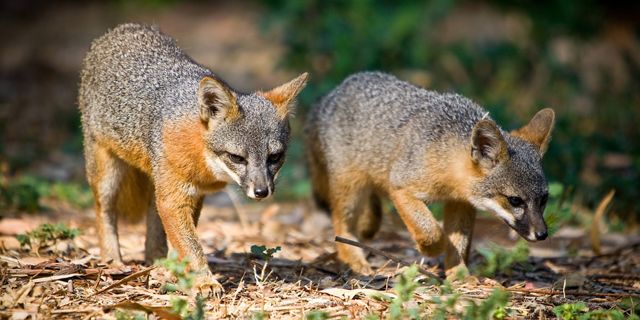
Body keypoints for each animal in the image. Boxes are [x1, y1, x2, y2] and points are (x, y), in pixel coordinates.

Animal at [79, 23, 308, 292]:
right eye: (237, 158)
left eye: (274, 157)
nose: (262, 192)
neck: (203, 157)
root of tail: (123, 28)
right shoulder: (175, 198)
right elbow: (191, 246)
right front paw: (203, 282)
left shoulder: (193, 195)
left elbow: (182, 242)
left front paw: (176, 272)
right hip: (108, 177)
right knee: (103, 211)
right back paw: (113, 261)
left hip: (156, 186)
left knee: (154, 222)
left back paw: (156, 263)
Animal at [306, 71, 556, 276]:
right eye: (515, 200)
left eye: (544, 199)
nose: (542, 234)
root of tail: (330, 96)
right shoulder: (401, 188)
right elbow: (431, 231)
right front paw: (432, 248)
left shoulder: (461, 204)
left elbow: (460, 243)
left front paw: (460, 276)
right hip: (351, 190)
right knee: (341, 224)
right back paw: (355, 259)